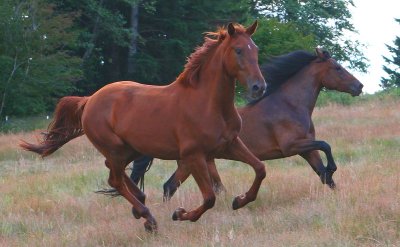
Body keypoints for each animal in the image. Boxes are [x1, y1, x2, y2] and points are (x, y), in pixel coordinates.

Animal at [20, 21, 268, 232]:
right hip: (116, 148)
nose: (259, 87)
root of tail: (89, 100)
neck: (207, 103)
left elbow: (260, 169)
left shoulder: (229, 145)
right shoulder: (194, 155)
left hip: (132, 149)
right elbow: (209, 198)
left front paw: (239, 200)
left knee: (113, 170)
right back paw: (148, 217)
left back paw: (140, 204)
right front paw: (179, 214)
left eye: (255, 49)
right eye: (238, 50)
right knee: (114, 179)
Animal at [159, 48, 362, 201]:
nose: (359, 86)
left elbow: (324, 175)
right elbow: (325, 145)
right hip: (189, 162)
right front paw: (333, 168)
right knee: (170, 186)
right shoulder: (291, 146)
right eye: (337, 68)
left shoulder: (307, 149)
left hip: (204, 162)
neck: (290, 106)